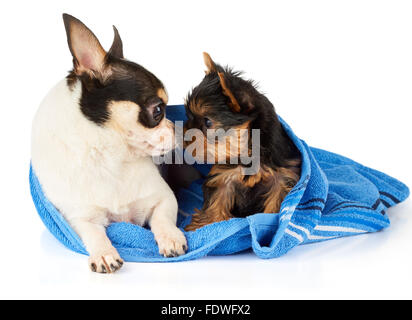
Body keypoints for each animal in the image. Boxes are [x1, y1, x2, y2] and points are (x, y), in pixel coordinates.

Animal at [31, 15, 187, 274]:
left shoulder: (164, 198)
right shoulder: (79, 218)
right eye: (158, 110)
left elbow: (163, 218)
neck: (113, 155)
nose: (179, 130)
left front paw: (171, 238)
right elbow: (94, 233)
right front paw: (104, 254)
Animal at [185, 53, 300, 231]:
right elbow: (216, 203)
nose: (182, 137)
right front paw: (206, 226)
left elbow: (275, 204)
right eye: (188, 116)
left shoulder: (281, 178)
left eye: (208, 122)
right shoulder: (223, 176)